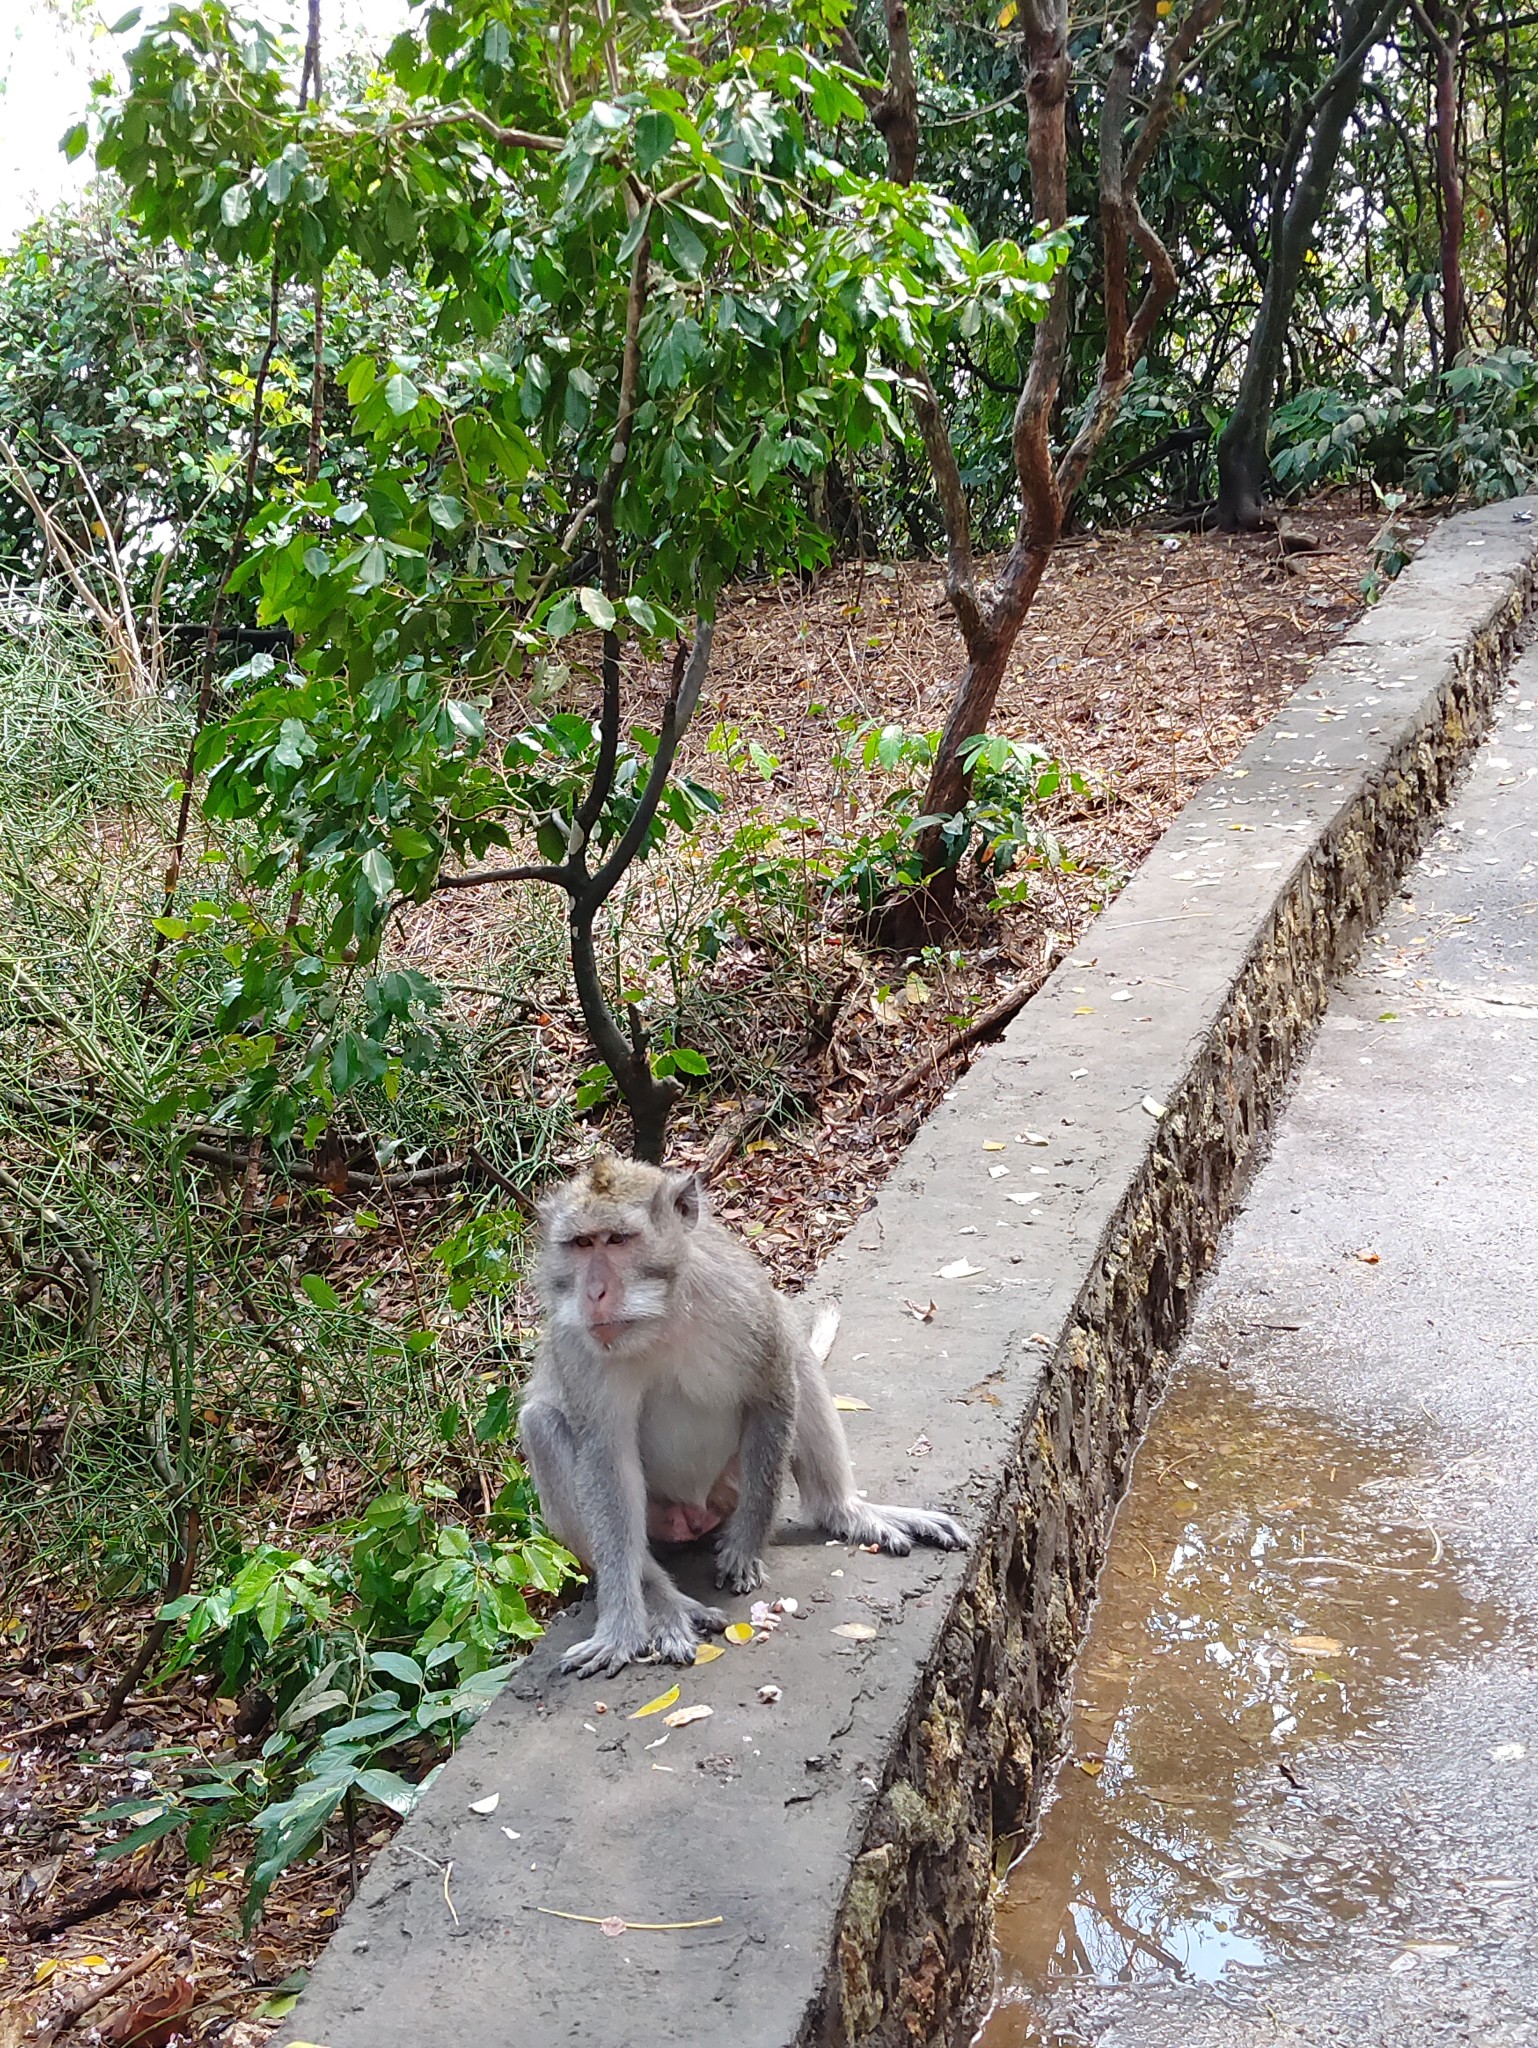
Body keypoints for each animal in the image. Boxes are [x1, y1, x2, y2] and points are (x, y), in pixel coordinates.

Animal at [524, 1163, 966, 1671]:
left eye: (617, 1239)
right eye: (580, 1244)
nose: (594, 1292)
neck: (661, 1317)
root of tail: (695, 1515)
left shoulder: (746, 1301)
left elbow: (773, 1388)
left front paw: (745, 1547)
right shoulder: (577, 1343)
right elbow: (605, 1461)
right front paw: (621, 1628)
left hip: (730, 1484)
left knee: (796, 1354)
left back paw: (845, 1512)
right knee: (541, 1424)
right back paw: (664, 1602)